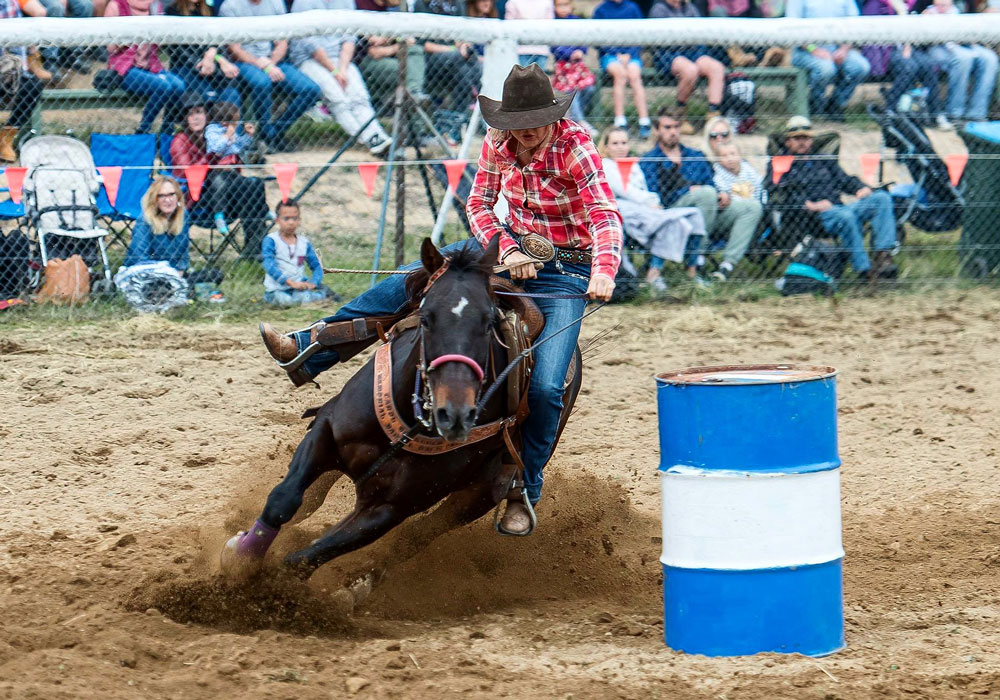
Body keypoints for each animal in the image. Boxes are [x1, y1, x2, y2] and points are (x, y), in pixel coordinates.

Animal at [219, 237, 580, 600]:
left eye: (489, 322)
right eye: (426, 318)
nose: (455, 414)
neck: (413, 420)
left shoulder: (391, 508)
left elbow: (305, 557)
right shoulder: (325, 430)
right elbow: (284, 499)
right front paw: (240, 557)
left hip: (481, 493)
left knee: (415, 538)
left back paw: (357, 588)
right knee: (313, 499)